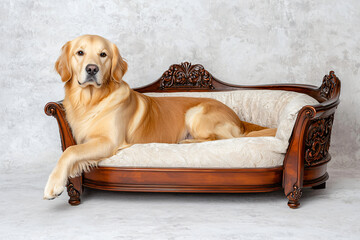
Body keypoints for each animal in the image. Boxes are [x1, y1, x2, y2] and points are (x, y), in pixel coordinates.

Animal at [44, 34, 276, 200]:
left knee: (222, 139)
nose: (92, 69)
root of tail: (237, 117)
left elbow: (70, 152)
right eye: (80, 52)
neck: (92, 100)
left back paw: (187, 142)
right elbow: (73, 150)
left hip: (196, 113)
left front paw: (54, 185)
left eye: (103, 55)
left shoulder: (110, 142)